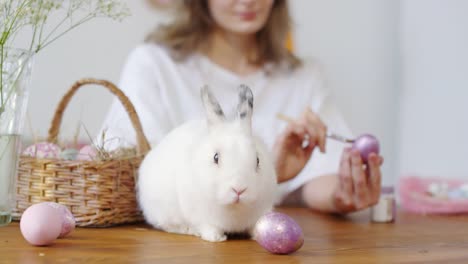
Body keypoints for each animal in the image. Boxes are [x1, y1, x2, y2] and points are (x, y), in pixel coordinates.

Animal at [138, 84, 278, 241]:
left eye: (258, 160)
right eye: (215, 157)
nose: (239, 189)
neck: (234, 208)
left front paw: (258, 234)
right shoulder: (201, 217)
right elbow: (209, 228)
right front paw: (217, 238)